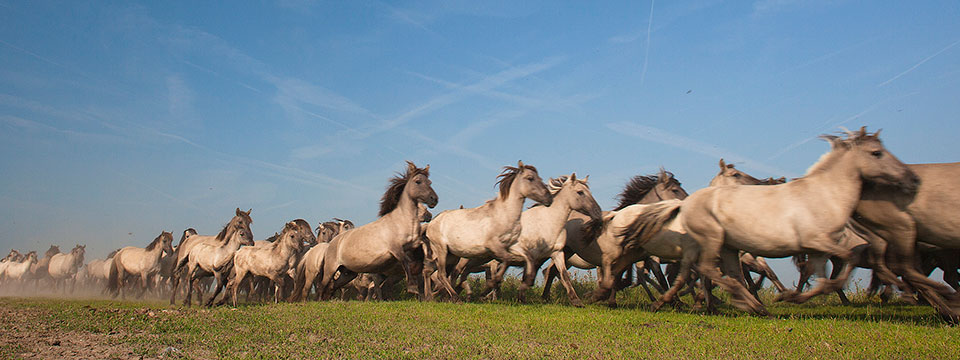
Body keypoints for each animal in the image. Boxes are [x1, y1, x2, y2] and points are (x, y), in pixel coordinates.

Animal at [680, 129, 920, 316]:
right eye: (876, 153)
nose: (913, 178)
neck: (825, 194)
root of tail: (688, 204)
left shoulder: (818, 250)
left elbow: (823, 276)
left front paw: (793, 297)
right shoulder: (816, 242)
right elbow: (846, 260)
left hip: (728, 247)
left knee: (731, 275)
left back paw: (753, 305)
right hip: (714, 240)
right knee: (710, 270)